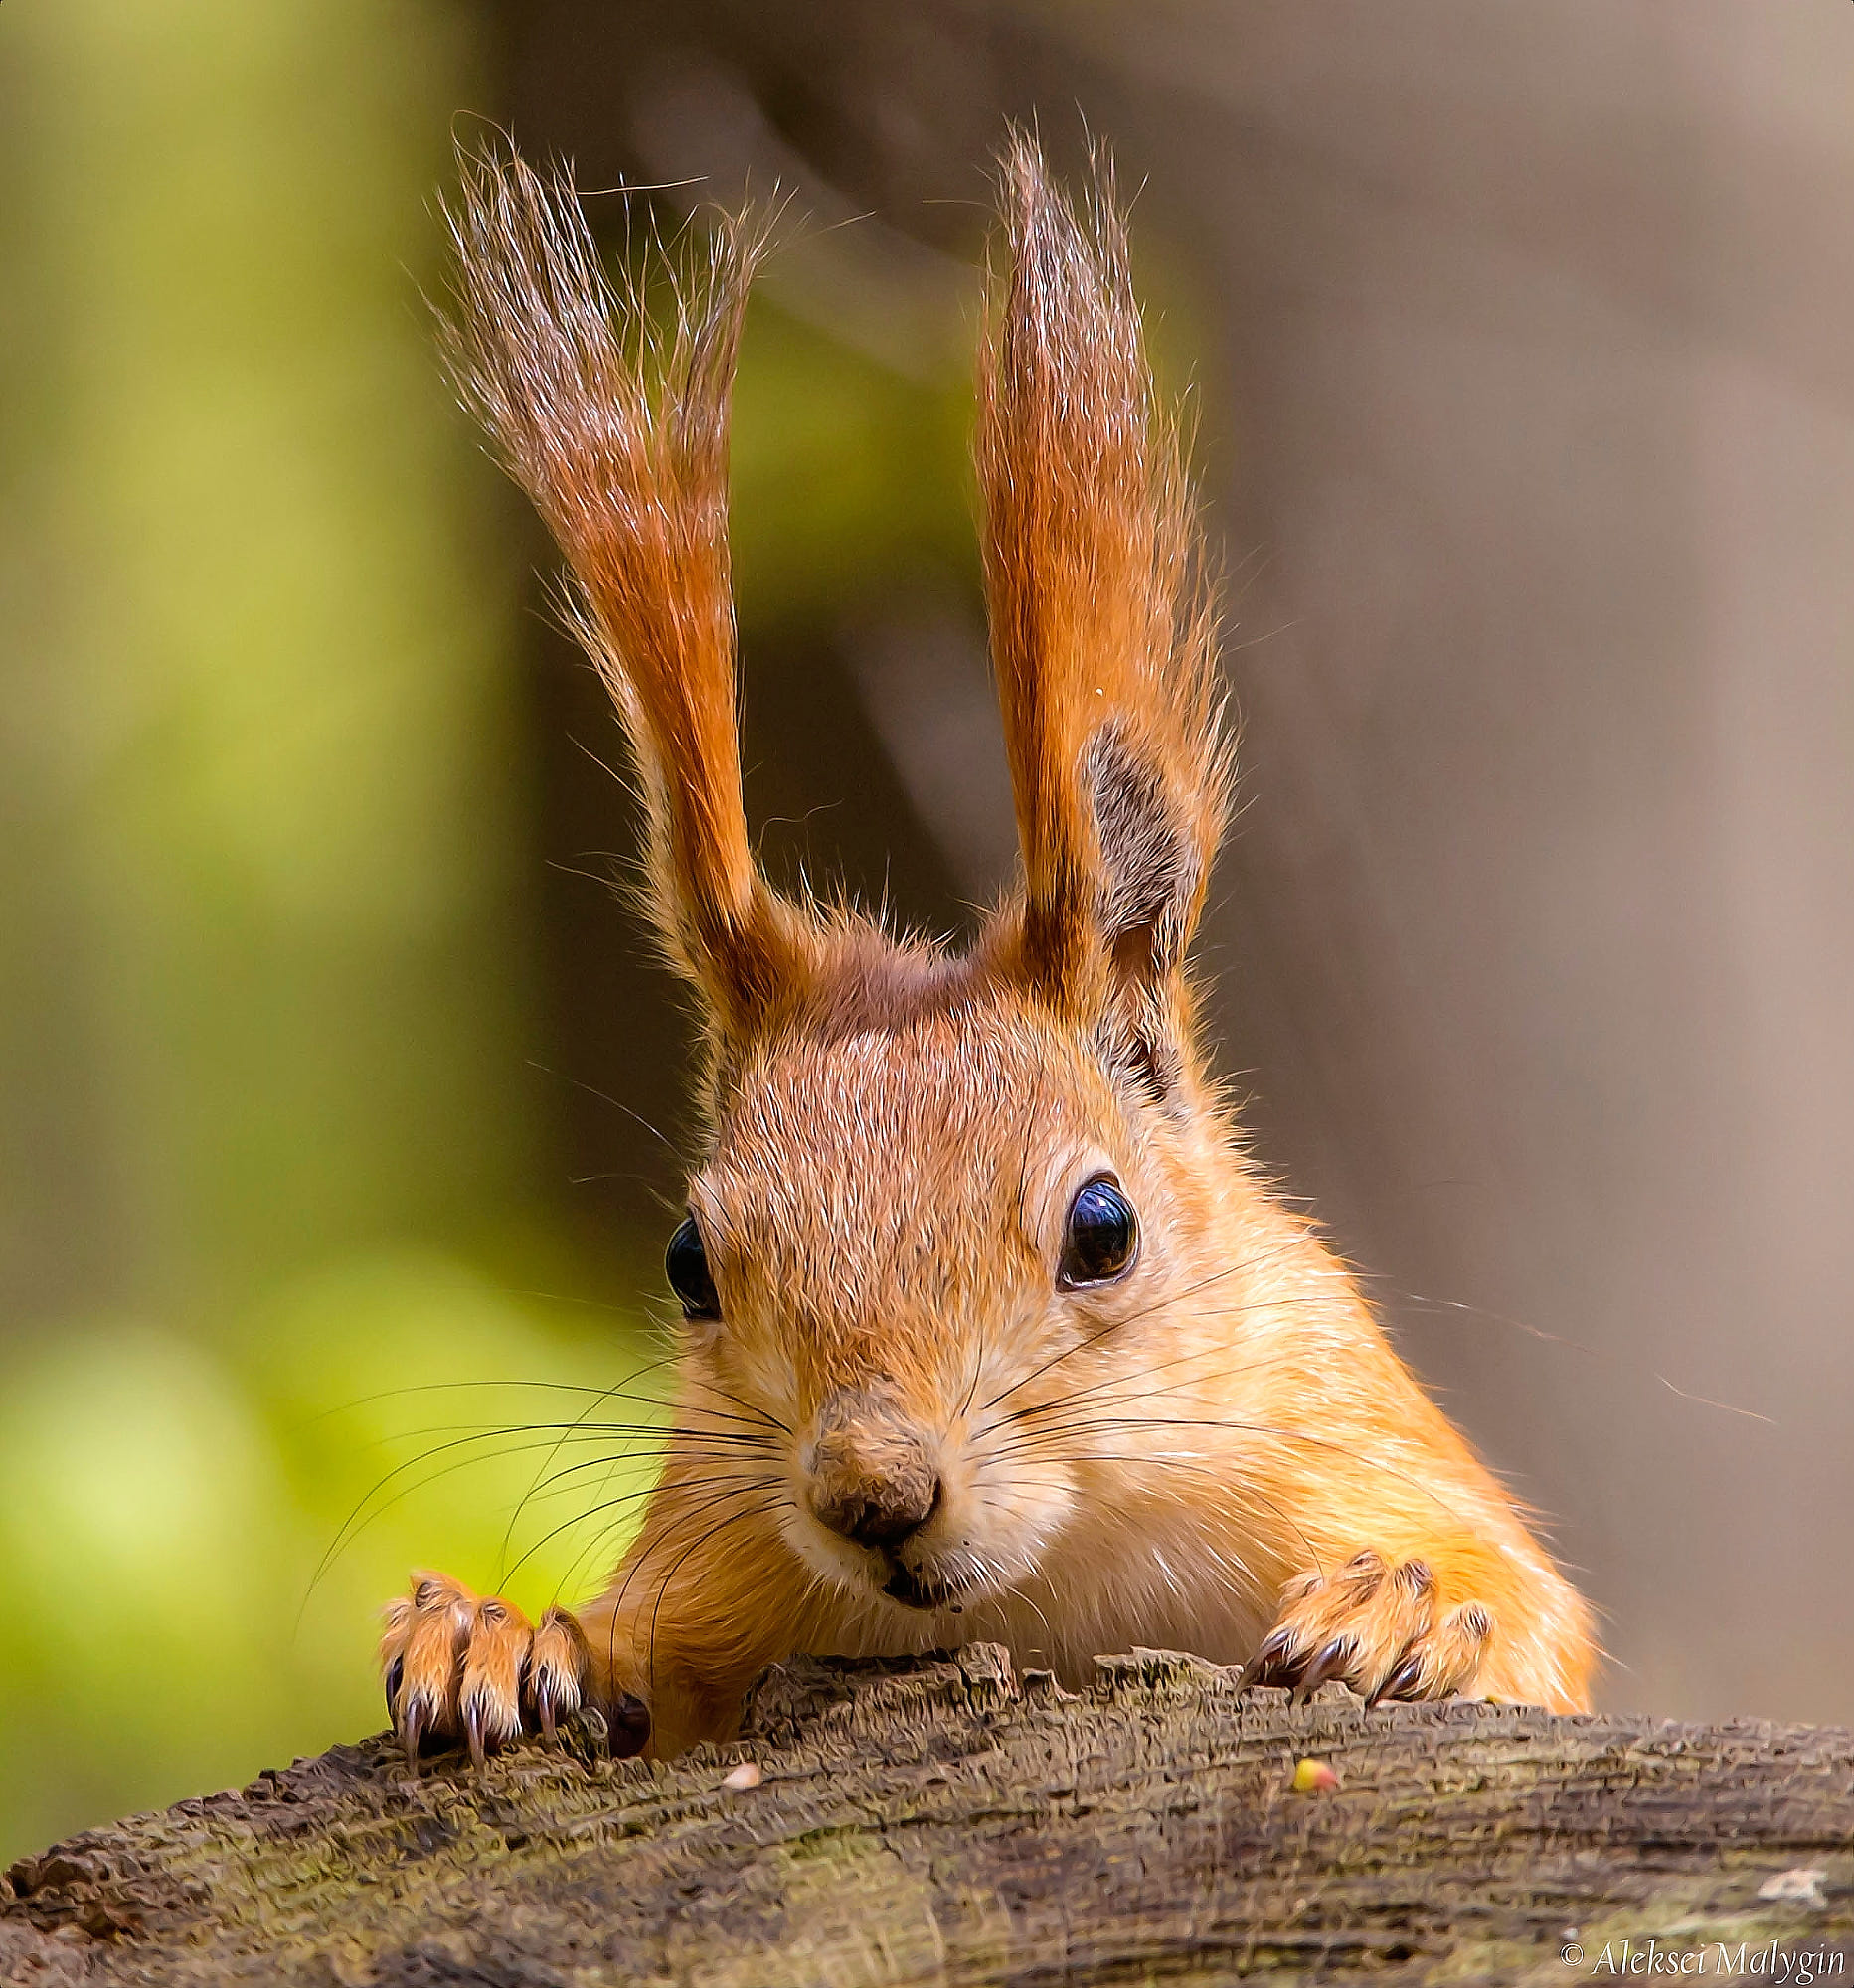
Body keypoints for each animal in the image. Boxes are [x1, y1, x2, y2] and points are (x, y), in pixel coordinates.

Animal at [380, 132, 1591, 1765]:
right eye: (689, 1262)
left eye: (1104, 1228)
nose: (873, 1493)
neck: (1054, 1584)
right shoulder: (716, 1545)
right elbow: (636, 1645)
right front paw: (498, 1632)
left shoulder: (1348, 1430)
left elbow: (1534, 1617)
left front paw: (1412, 1605)